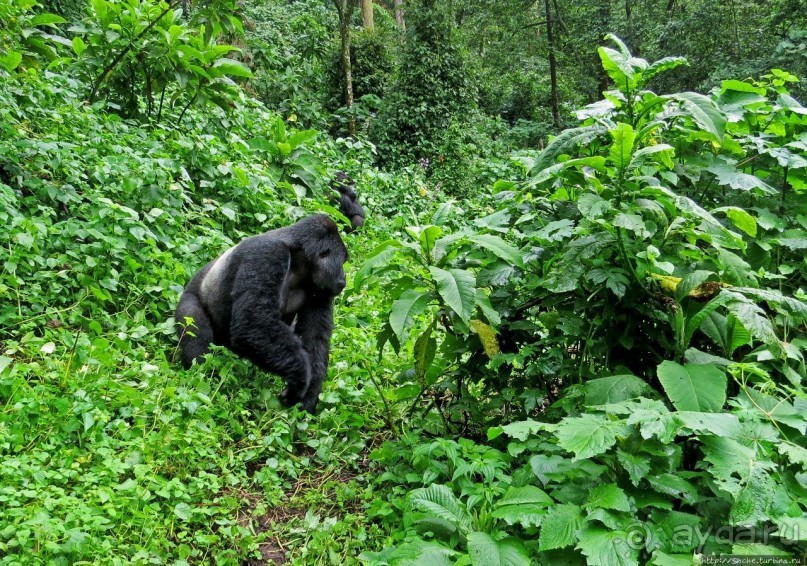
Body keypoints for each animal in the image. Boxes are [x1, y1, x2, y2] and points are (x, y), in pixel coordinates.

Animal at [177, 215, 348, 414]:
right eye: (342, 262)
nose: (344, 279)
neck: (299, 258)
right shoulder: (268, 253)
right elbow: (252, 322)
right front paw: (300, 379)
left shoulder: (321, 287)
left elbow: (314, 339)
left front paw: (307, 398)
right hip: (189, 300)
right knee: (196, 332)